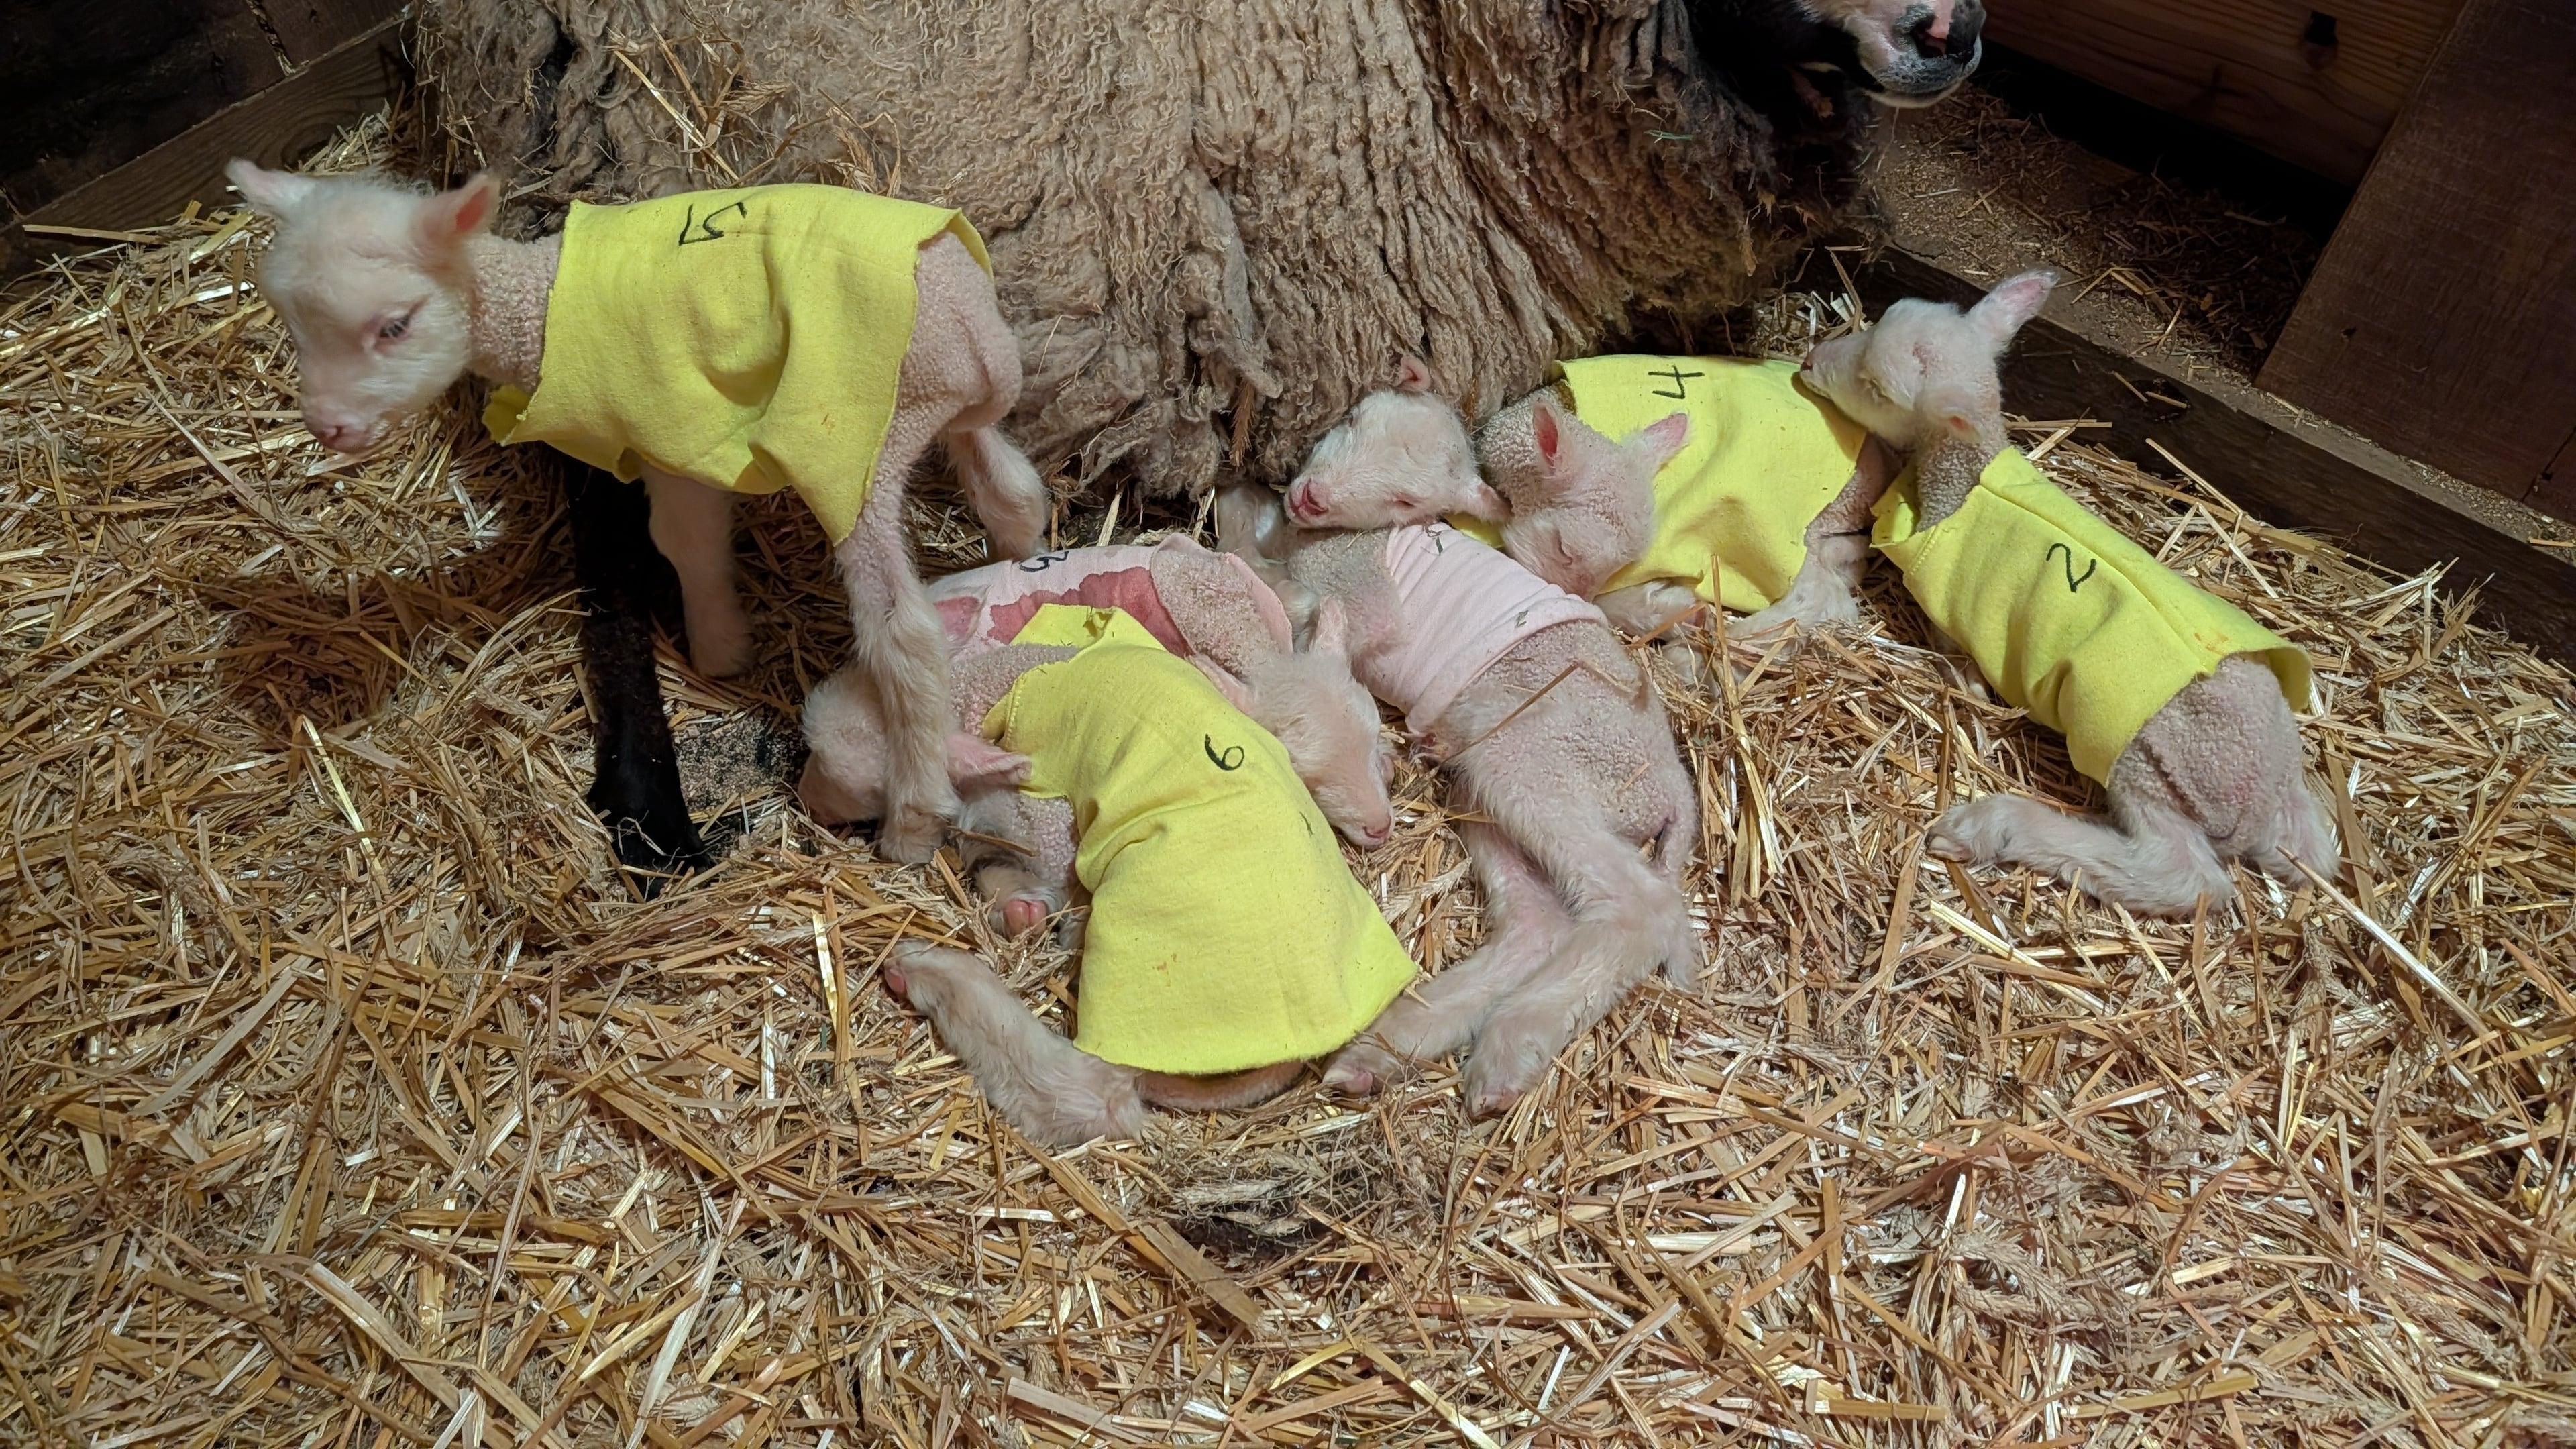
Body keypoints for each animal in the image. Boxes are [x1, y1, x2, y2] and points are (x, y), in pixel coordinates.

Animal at [224, 165, 1054, 865]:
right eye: (292, 325)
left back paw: (914, 819)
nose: (327, 427)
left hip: (852, 446)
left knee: (904, 633)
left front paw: (719, 649)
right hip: (939, 412)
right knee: (1012, 490)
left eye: (394, 325)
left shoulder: (670, 429)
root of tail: (972, 325)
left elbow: (684, 540)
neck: (535, 306)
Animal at [1798, 270, 2338, 915]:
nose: (1809, 360)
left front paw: (1967, 685)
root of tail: (2263, 804)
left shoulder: (1947, 608)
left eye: (1873, 387)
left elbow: (1953, 651)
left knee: (2184, 878)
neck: (1965, 481)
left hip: (2146, 768)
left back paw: (1993, 826)